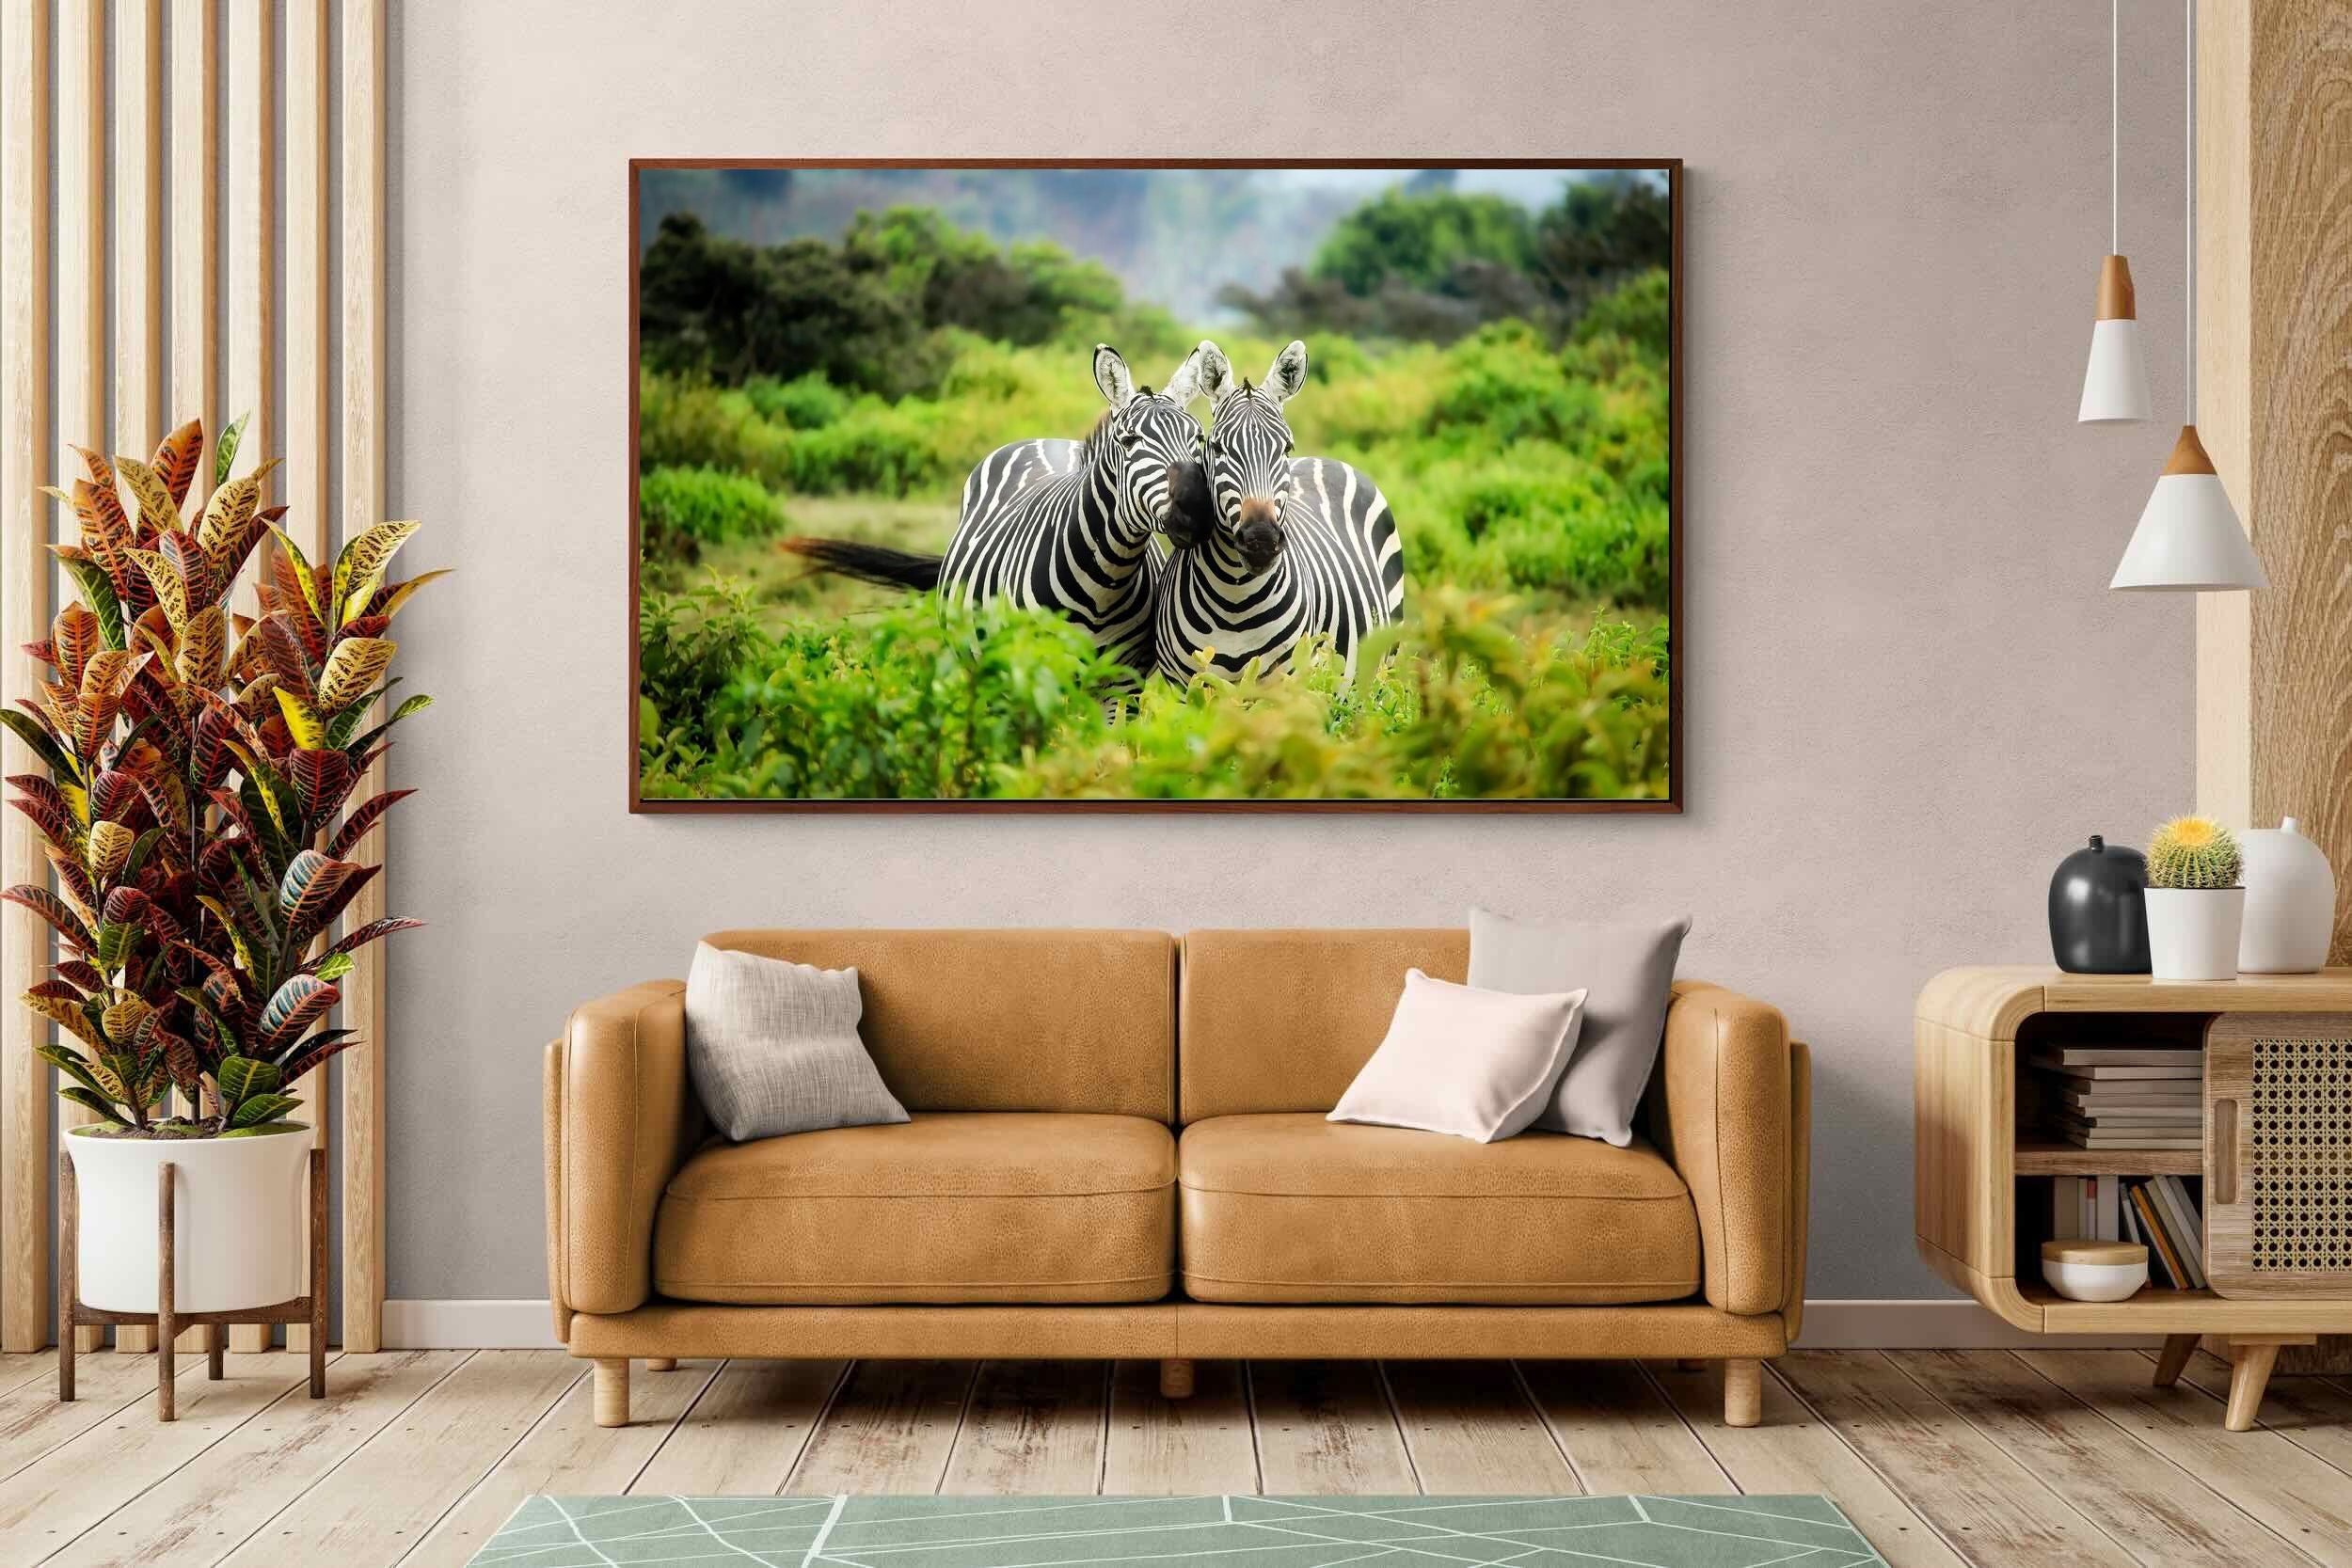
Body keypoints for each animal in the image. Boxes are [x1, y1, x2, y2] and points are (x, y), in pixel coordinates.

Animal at [782, 344, 1212, 678]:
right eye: (1129, 440)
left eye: (1198, 438)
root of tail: (1045, 439)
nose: (1195, 509)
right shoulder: (1035, 670)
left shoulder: (1122, 682)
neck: (1104, 582)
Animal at [1153, 339, 1405, 683]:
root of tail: (1325, 459)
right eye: (1217, 448)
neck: (1234, 601)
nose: (1260, 540)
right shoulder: (1186, 686)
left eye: (1286, 448)